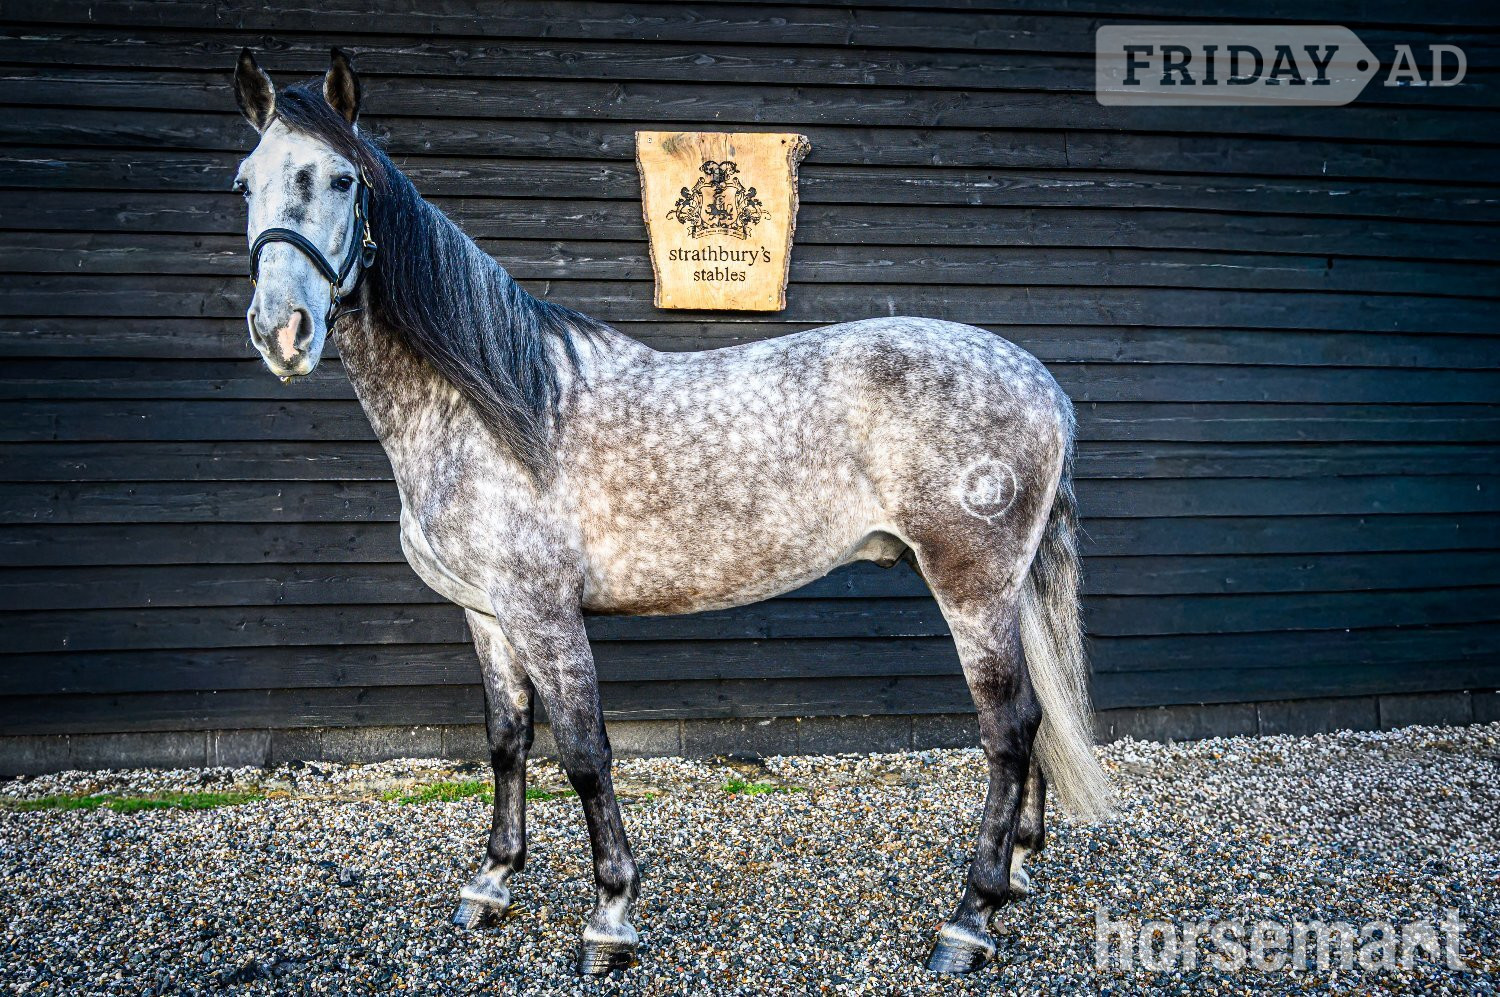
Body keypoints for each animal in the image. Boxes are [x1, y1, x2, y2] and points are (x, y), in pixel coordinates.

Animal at [230, 48, 1113, 976]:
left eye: (341, 179)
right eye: (243, 183)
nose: (282, 330)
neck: (495, 408)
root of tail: (1040, 382)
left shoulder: (544, 612)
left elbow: (584, 751)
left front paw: (610, 916)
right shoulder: (488, 612)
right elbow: (507, 739)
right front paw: (492, 883)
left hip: (972, 587)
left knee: (1009, 728)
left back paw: (969, 918)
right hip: (1004, 591)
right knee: (1034, 721)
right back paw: (1016, 875)